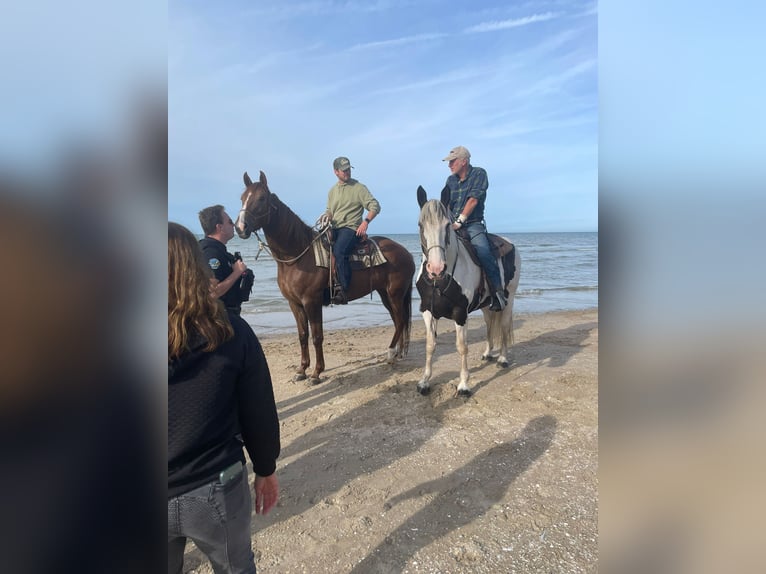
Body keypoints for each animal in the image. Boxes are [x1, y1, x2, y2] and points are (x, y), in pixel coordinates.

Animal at [235, 170, 416, 384]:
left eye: (261, 198)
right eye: (242, 198)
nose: (240, 227)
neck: (296, 257)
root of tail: (406, 252)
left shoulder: (311, 301)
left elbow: (317, 336)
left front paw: (316, 373)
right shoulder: (294, 304)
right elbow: (302, 335)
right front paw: (301, 370)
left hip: (395, 293)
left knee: (401, 320)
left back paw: (390, 353)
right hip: (385, 293)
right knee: (398, 321)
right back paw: (397, 353)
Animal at [415, 185, 521, 396]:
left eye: (447, 226)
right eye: (420, 225)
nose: (436, 269)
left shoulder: (460, 313)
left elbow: (462, 347)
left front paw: (464, 384)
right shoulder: (428, 311)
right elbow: (430, 346)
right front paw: (424, 382)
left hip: (510, 297)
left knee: (504, 325)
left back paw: (502, 359)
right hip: (487, 305)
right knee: (490, 324)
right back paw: (488, 353)